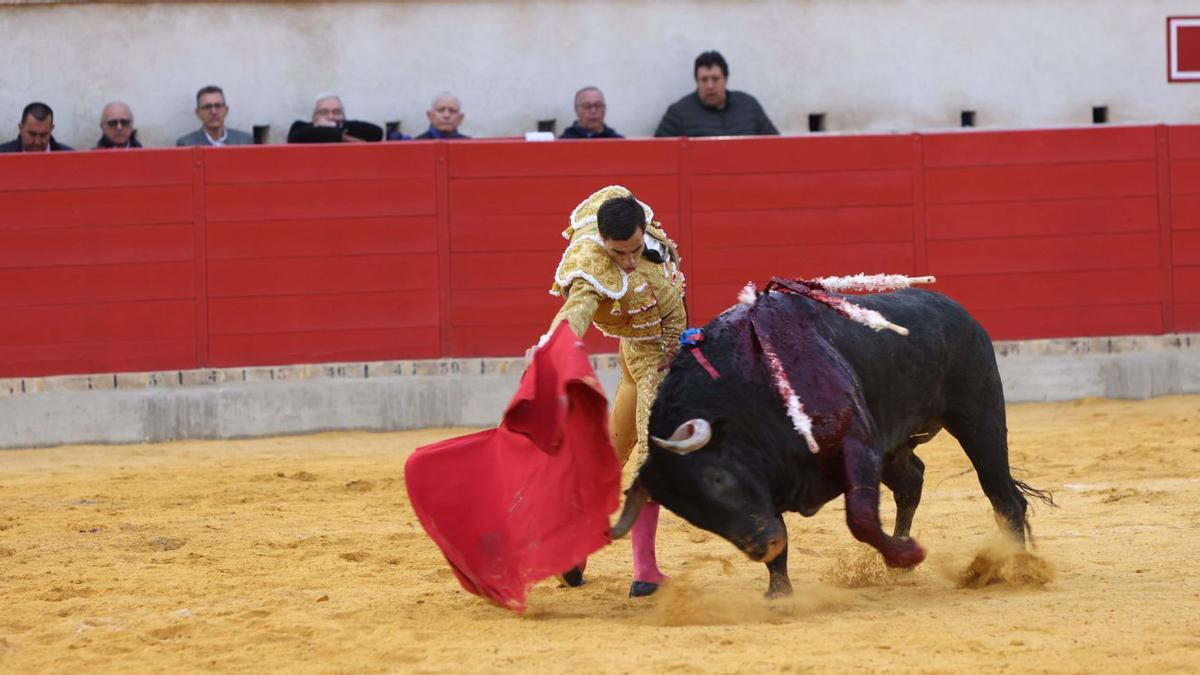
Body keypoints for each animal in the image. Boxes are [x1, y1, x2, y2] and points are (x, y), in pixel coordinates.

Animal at [609, 276, 1051, 595]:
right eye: (689, 514)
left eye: (718, 478)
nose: (761, 546)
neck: (750, 387)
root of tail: (960, 312)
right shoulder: (780, 485)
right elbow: (785, 528)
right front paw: (780, 593)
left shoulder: (857, 444)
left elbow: (860, 519)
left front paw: (907, 555)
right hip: (895, 443)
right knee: (913, 481)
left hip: (979, 415)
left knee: (1003, 496)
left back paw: (1014, 568)